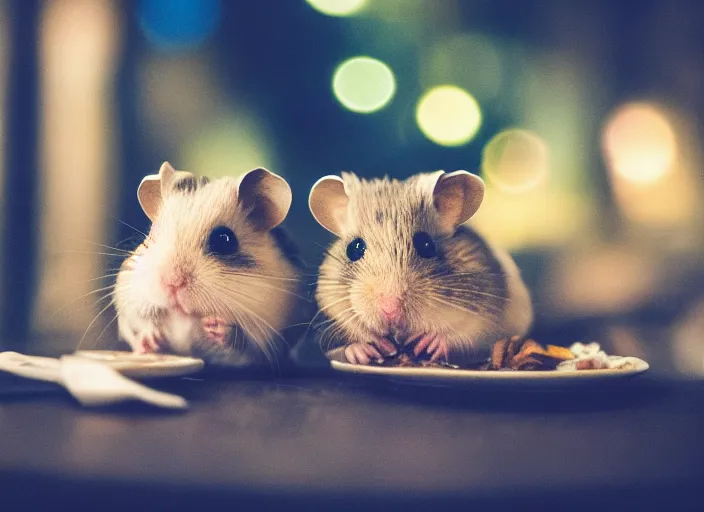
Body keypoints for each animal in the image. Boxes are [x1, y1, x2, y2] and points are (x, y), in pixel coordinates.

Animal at [114, 162, 306, 366]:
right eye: (152, 235)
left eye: (224, 240)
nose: (172, 283)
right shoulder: (128, 299)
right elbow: (138, 327)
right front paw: (150, 338)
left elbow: (243, 344)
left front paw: (215, 326)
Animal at [308, 170, 532, 366]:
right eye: (354, 248)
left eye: (426, 245)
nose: (390, 309)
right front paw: (365, 348)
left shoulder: (486, 314)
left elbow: (467, 335)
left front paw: (430, 341)